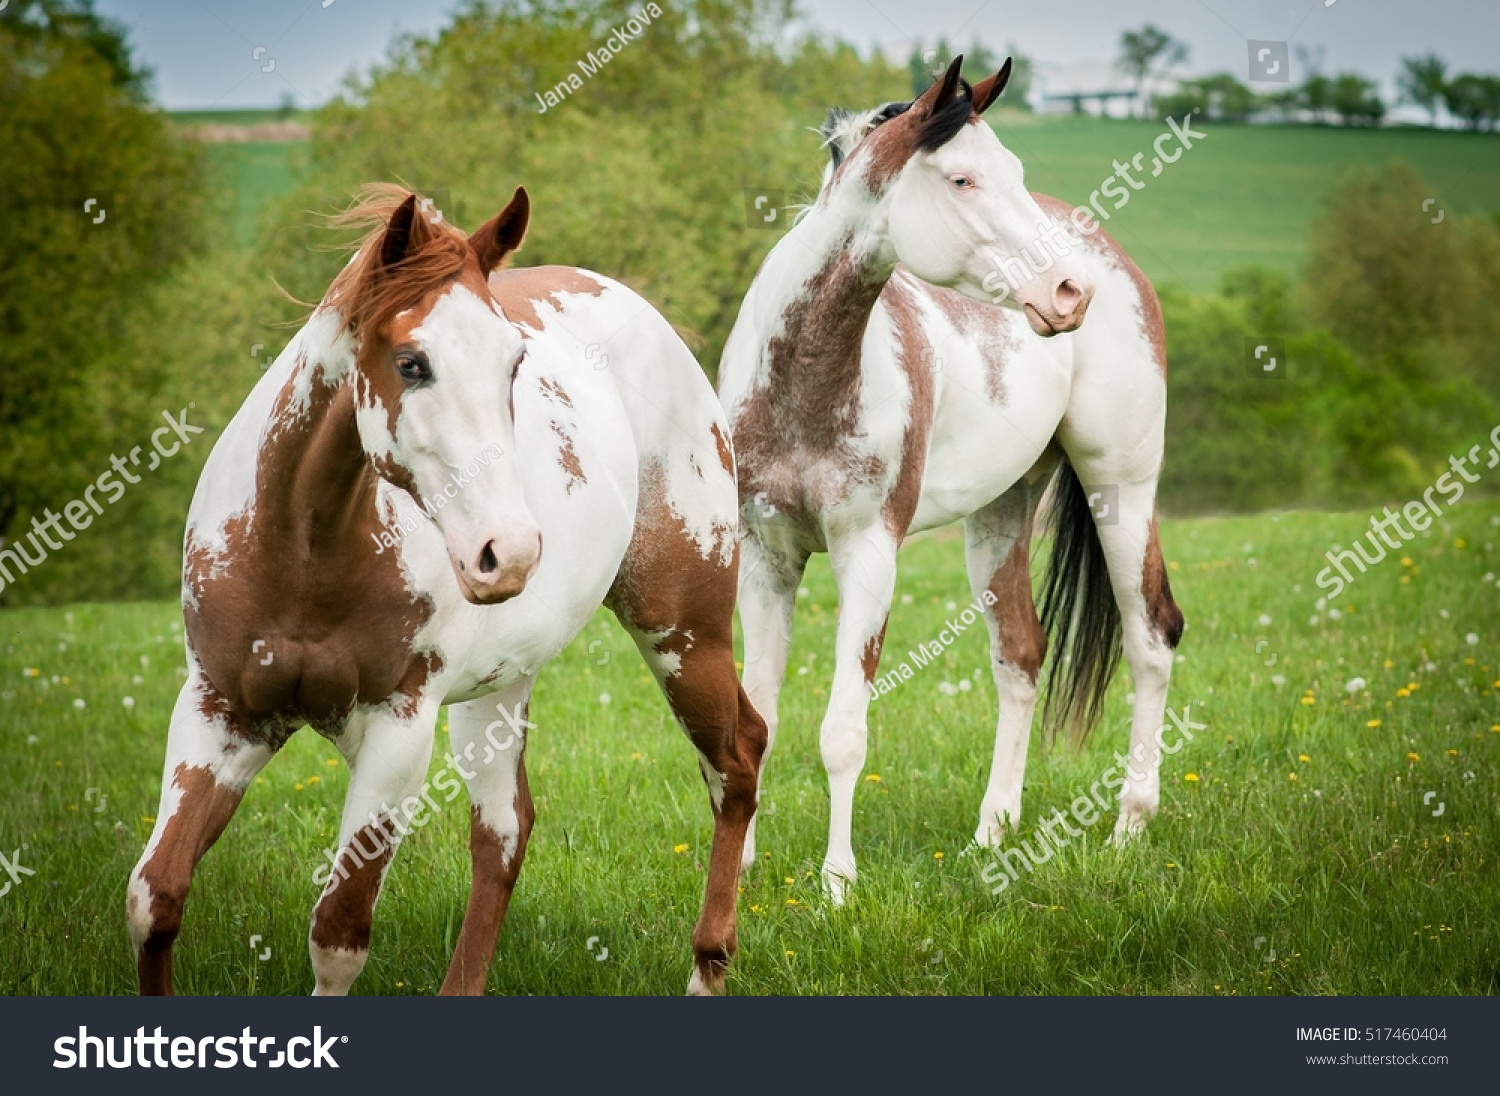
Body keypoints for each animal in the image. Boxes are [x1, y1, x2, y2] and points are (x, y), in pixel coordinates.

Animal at [126, 186, 762, 995]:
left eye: (514, 363)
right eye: (411, 362)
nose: (509, 552)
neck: (305, 550)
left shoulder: (397, 731)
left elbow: (338, 934)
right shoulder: (220, 713)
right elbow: (155, 900)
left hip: (681, 633)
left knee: (736, 761)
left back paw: (708, 965)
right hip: (502, 684)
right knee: (504, 831)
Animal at [717, 55, 1182, 905]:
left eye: (1015, 173)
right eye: (963, 179)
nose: (1068, 293)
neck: (809, 379)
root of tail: (1113, 260)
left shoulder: (868, 555)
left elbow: (842, 733)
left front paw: (837, 885)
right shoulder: (766, 558)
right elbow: (756, 722)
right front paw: (742, 866)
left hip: (1122, 489)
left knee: (1150, 640)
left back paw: (1129, 829)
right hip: (1000, 512)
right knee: (1021, 656)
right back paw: (990, 835)